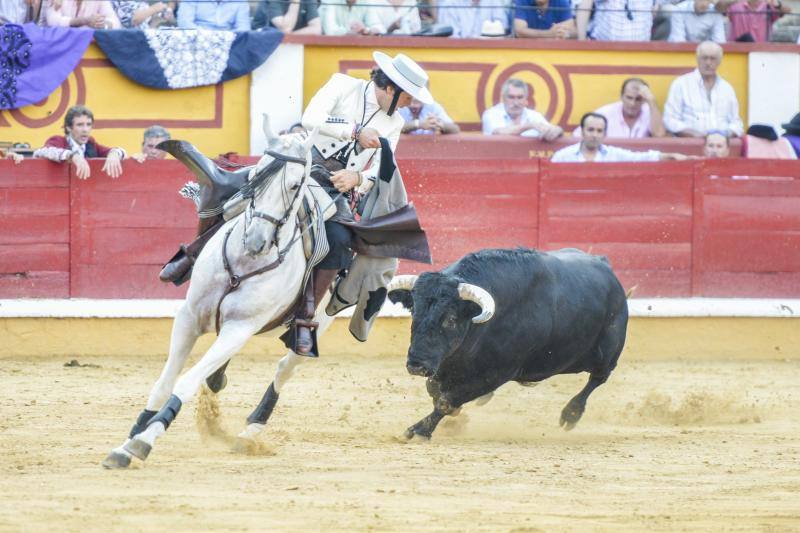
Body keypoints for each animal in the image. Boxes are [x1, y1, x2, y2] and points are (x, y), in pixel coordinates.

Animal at [103, 127, 332, 468]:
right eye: (257, 173)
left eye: (294, 185)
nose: (256, 240)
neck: (243, 261)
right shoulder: (189, 317)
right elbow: (164, 383)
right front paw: (130, 437)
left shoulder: (239, 329)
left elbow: (185, 381)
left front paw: (142, 441)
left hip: (321, 320)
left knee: (285, 367)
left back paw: (249, 433)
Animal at [388, 247, 632, 438]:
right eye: (414, 311)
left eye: (450, 319)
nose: (416, 365)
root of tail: (606, 267)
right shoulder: (447, 362)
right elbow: (435, 389)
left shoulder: (497, 373)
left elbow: (447, 400)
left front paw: (419, 431)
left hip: (608, 352)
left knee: (598, 378)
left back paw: (571, 414)